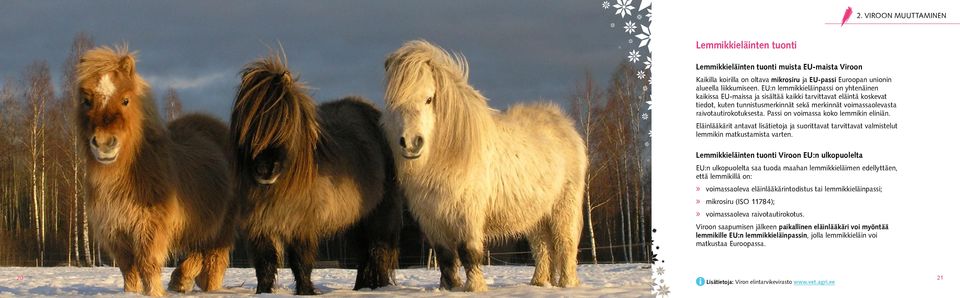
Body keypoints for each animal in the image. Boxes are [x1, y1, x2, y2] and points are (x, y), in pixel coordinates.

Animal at [76, 46, 237, 296]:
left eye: (125, 100)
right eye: (86, 101)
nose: (103, 144)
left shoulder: (150, 229)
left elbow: (148, 265)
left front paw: (155, 292)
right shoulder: (116, 232)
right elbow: (128, 269)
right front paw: (131, 293)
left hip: (221, 227)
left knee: (211, 258)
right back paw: (182, 280)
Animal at [232, 54, 402, 294]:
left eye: (285, 121)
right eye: (250, 122)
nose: (264, 169)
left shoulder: (302, 224)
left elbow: (300, 262)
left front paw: (306, 292)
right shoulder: (260, 227)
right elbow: (265, 265)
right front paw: (263, 293)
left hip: (379, 214)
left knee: (378, 251)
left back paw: (378, 288)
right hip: (356, 219)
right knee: (363, 254)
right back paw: (360, 288)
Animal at [380, 39, 584, 292]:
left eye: (429, 99)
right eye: (393, 102)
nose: (410, 143)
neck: (450, 153)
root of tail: (566, 126)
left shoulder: (468, 215)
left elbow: (469, 252)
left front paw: (474, 287)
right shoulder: (433, 219)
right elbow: (446, 257)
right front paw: (449, 288)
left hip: (564, 207)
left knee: (565, 244)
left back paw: (567, 284)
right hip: (537, 214)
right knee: (542, 247)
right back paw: (538, 283)